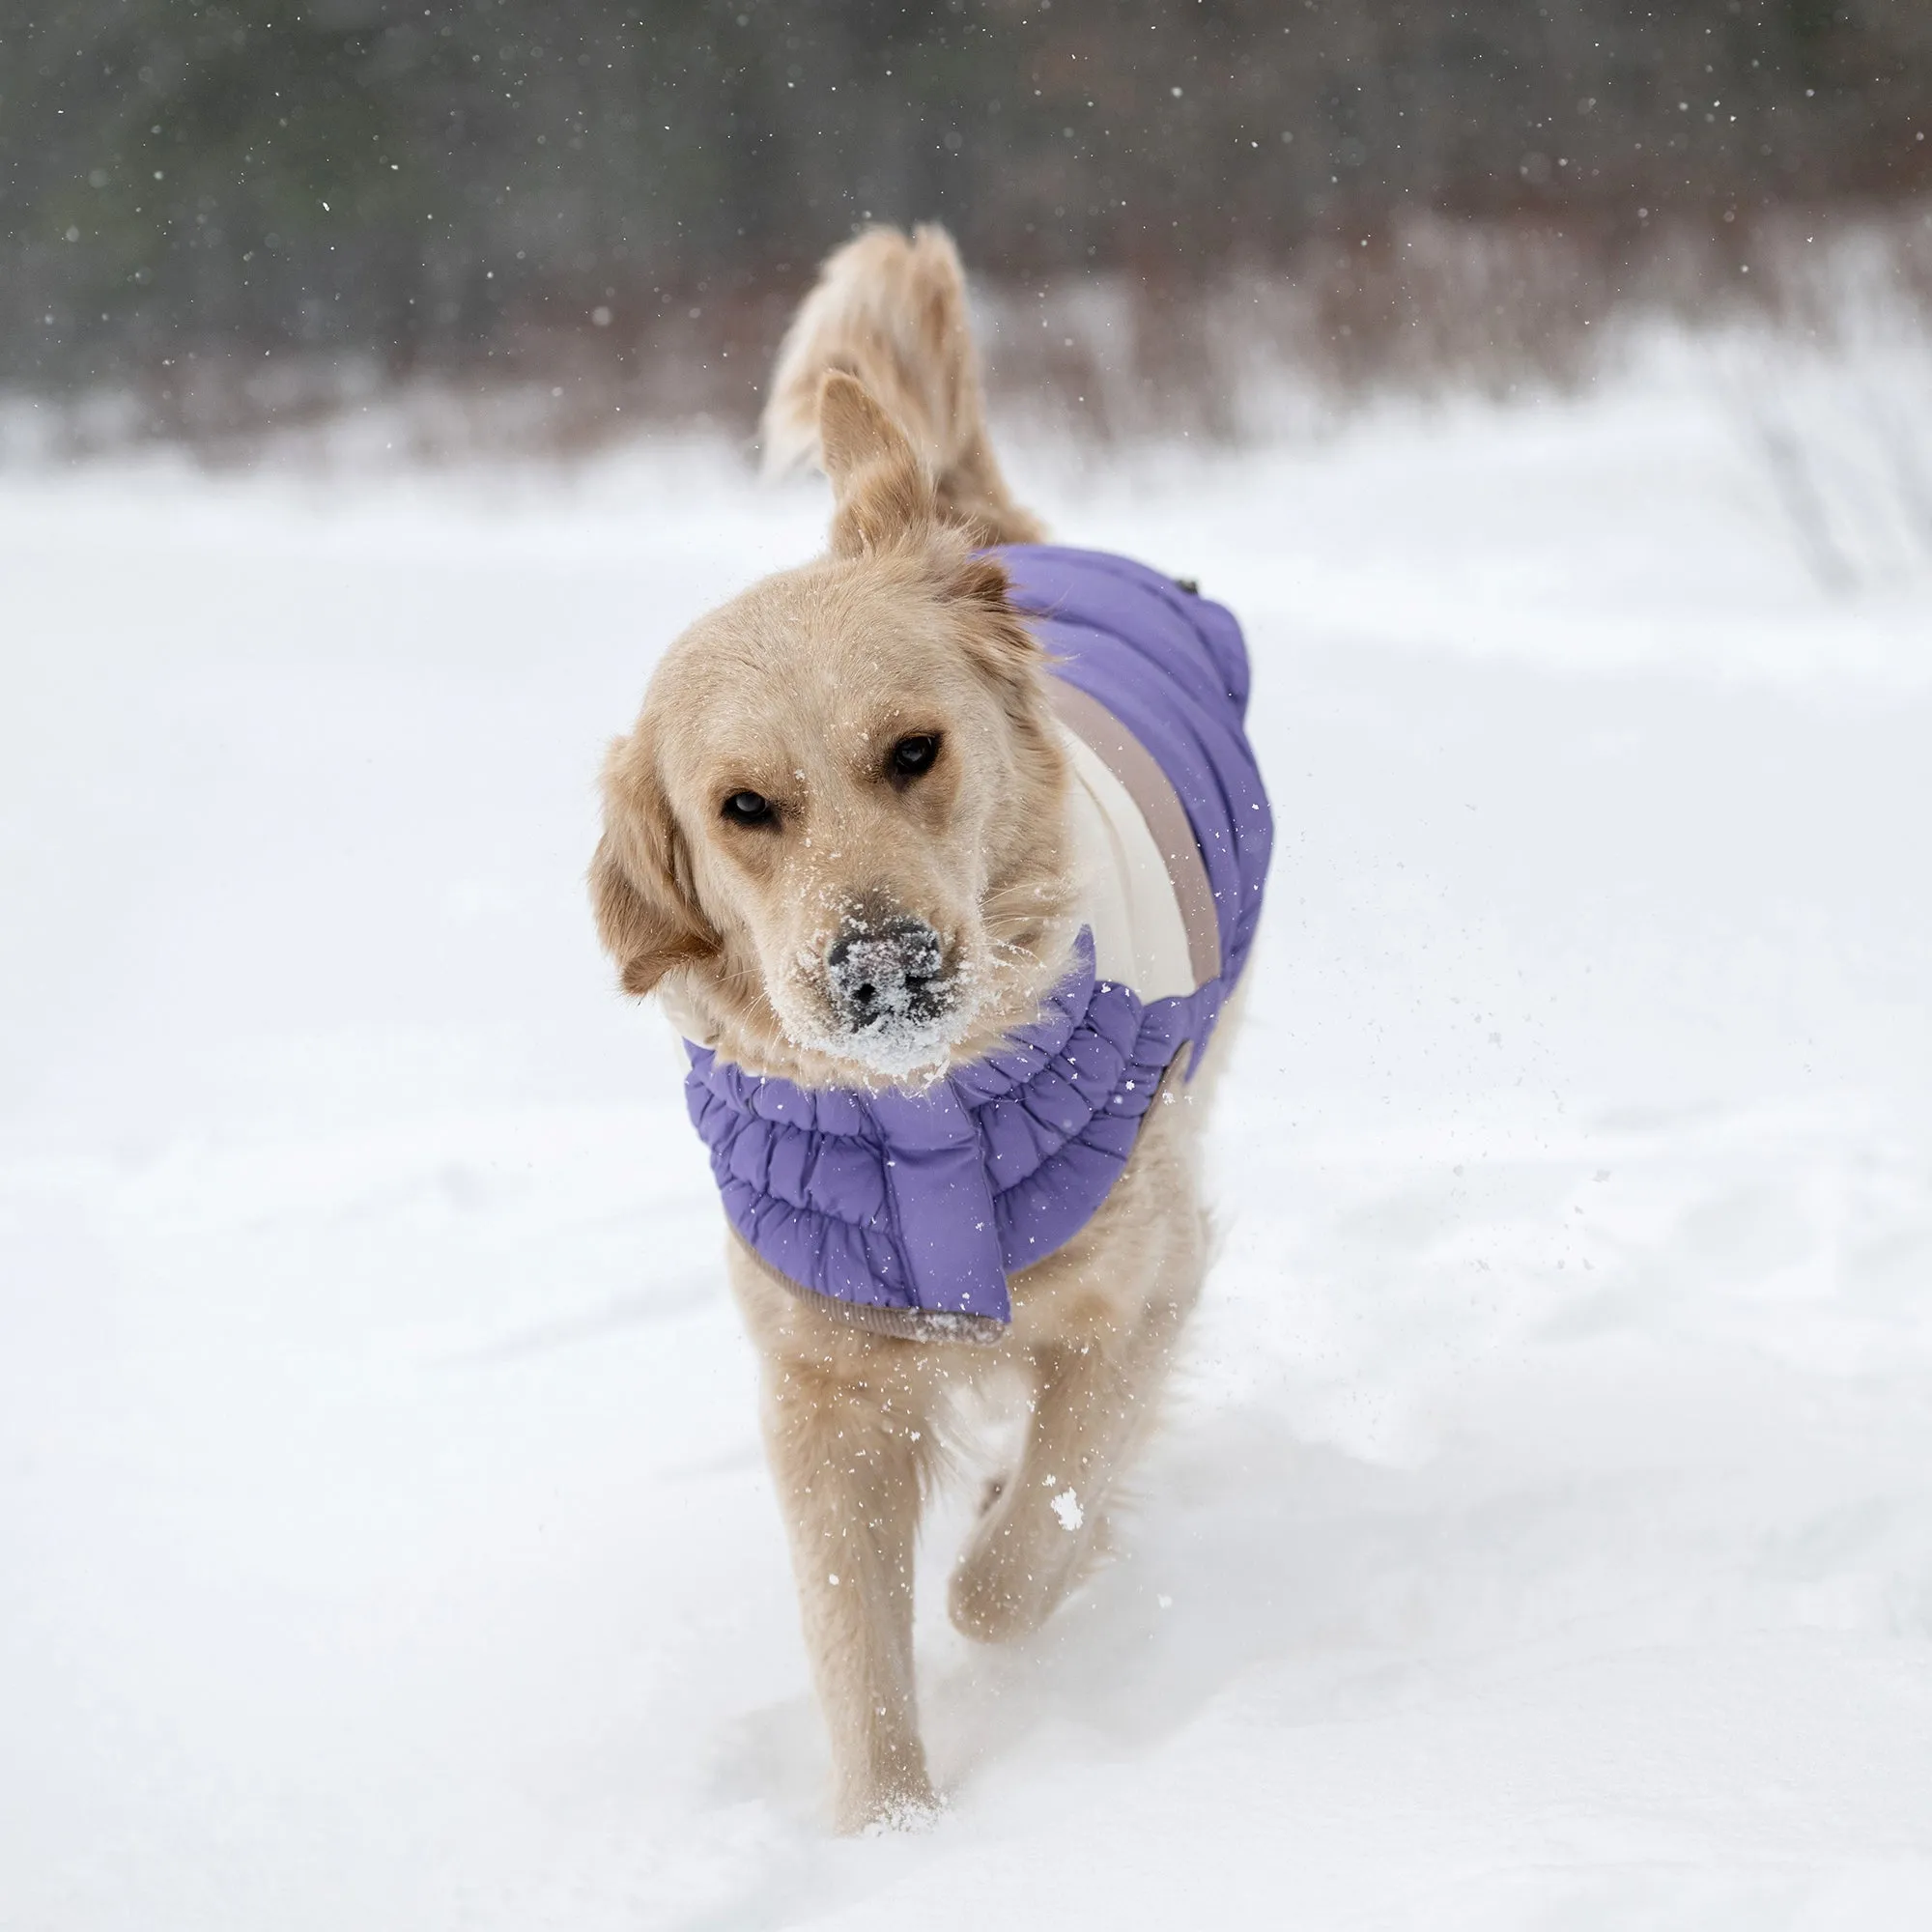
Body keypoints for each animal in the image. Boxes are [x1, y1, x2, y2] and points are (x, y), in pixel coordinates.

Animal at [595, 222, 1275, 1824]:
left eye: (915, 751)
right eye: (744, 808)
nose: (882, 970)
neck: (929, 1124)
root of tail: (980, 533)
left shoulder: (1144, 1283)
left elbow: (1019, 1557)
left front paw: (998, 1571)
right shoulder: (821, 1384)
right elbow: (856, 1647)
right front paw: (892, 1834)